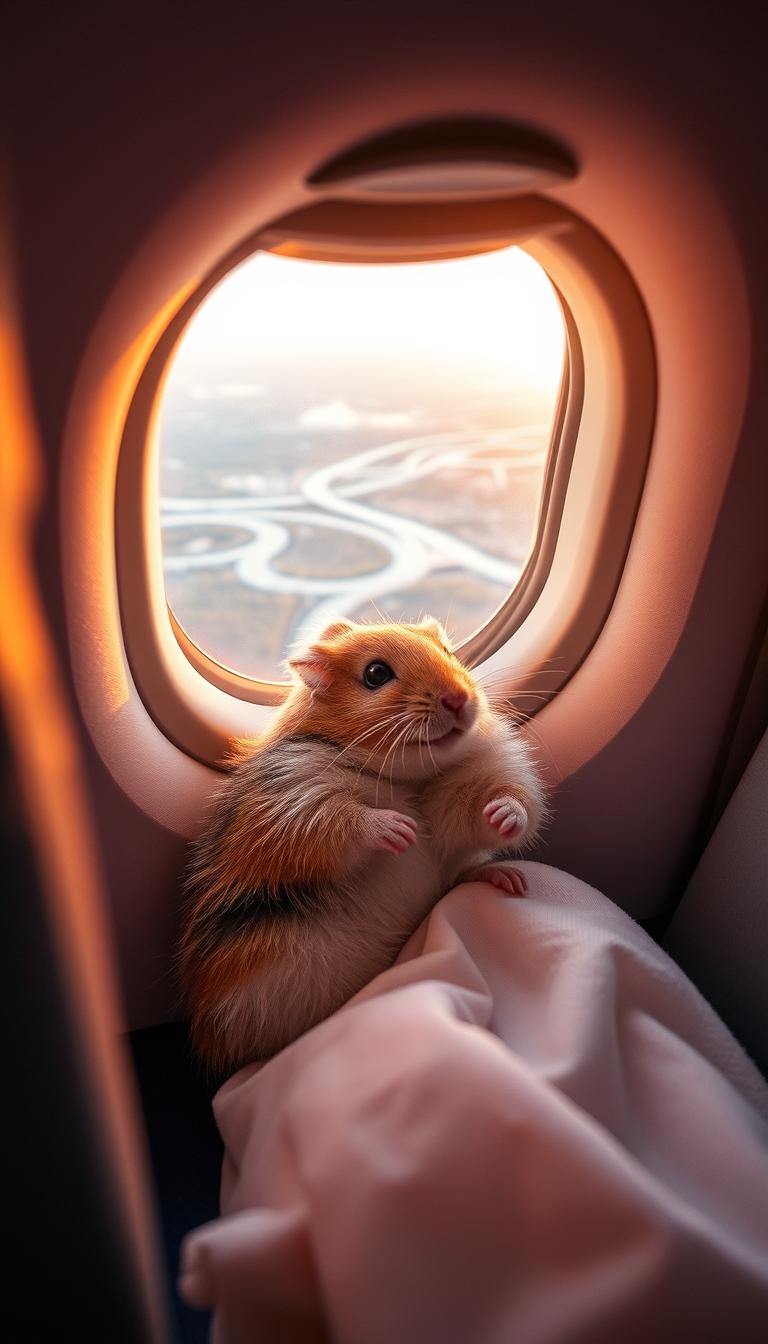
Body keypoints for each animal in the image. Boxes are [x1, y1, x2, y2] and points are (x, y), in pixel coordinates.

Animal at [178, 616, 548, 1074]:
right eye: (376, 674)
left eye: (448, 652)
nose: (459, 698)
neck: (406, 777)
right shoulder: (293, 808)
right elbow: (348, 821)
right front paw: (402, 831)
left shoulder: (475, 785)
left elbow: (501, 805)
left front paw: (503, 815)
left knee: (464, 871)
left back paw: (505, 878)